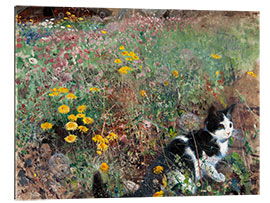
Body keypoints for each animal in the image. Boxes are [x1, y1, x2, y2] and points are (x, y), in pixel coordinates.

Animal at [93, 103, 236, 197]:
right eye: (221, 126)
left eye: (230, 124)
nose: (229, 132)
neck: (213, 138)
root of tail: (150, 179)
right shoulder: (204, 161)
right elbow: (212, 170)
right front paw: (219, 177)